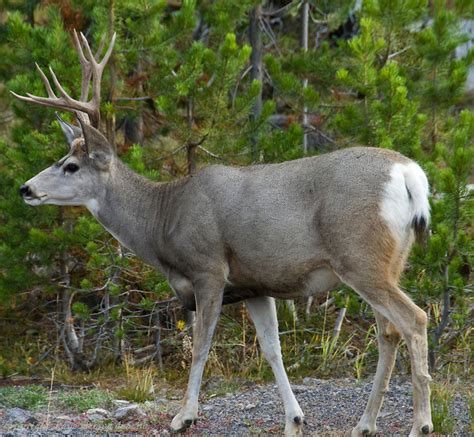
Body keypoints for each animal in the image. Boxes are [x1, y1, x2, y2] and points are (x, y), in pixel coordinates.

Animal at [12, 30, 434, 436]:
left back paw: (421, 424)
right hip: (391, 260)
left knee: (414, 319)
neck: (163, 217)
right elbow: (272, 349)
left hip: (360, 256)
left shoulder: (209, 269)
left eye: (70, 166)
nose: (25, 188)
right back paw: (365, 424)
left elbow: (201, 346)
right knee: (389, 332)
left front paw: (183, 417)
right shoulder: (255, 285)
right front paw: (294, 420)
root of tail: (409, 174)